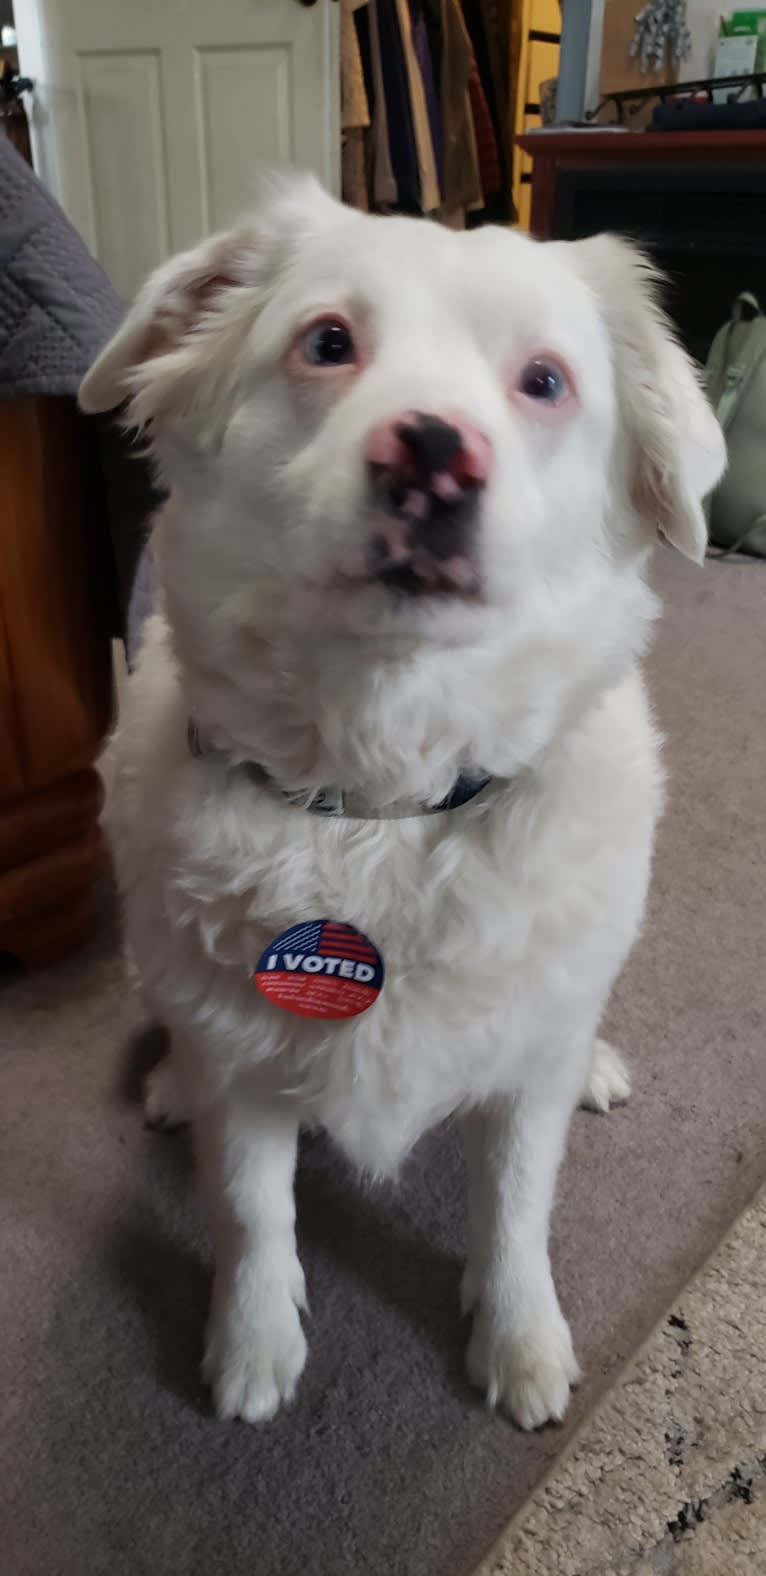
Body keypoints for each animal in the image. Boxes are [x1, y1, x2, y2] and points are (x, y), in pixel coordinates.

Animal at [80, 178, 728, 1437]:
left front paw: (518, 1337)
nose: (431, 454)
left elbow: (515, 1204)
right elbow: (250, 1210)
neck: (384, 801)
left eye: (543, 380)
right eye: (327, 341)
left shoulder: (521, 1087)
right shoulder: (244, 1065)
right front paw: (254, 1341)